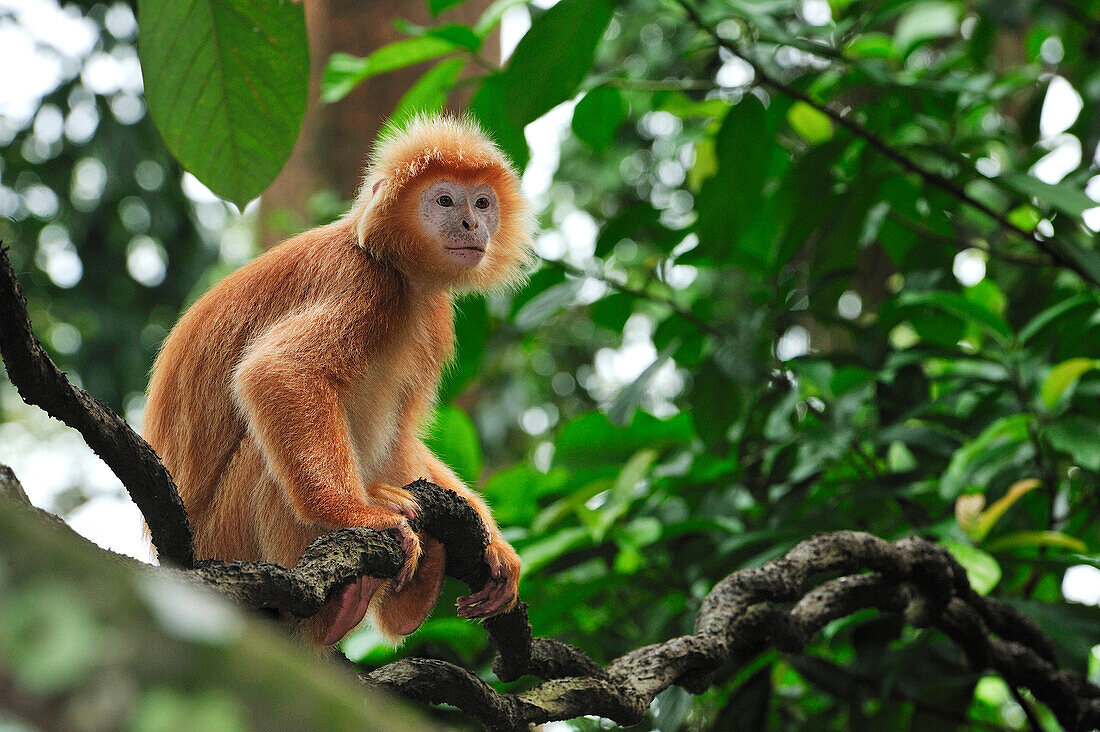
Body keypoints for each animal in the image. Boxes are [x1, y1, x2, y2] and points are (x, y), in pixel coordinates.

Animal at [141, 115, 536, 647]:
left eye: (481, 203)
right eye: (444, 201)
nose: (472, 225)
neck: (396, 270)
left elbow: (403, 436)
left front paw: (495, 544)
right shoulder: (361, 283)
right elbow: (277, 372)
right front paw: (360, 515)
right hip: (227, 540)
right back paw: (333, 610)